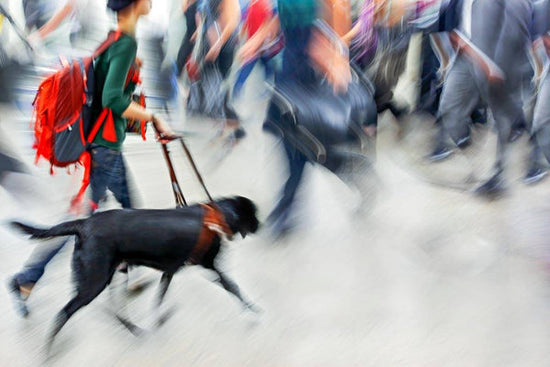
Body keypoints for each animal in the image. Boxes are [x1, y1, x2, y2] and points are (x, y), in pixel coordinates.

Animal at [11, 197, 260, 352]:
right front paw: (252, 309)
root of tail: (83, 224)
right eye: (253, 214)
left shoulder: (171, 271)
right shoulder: (204, 268)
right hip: (95, 281)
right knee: (64, 313)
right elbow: (233, 287)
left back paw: (134, 329)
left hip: (112, 274)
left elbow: (159, 299)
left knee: (113, 309)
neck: (215, 217)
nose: (260, 225)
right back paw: (48, 349)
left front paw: (159, 318)